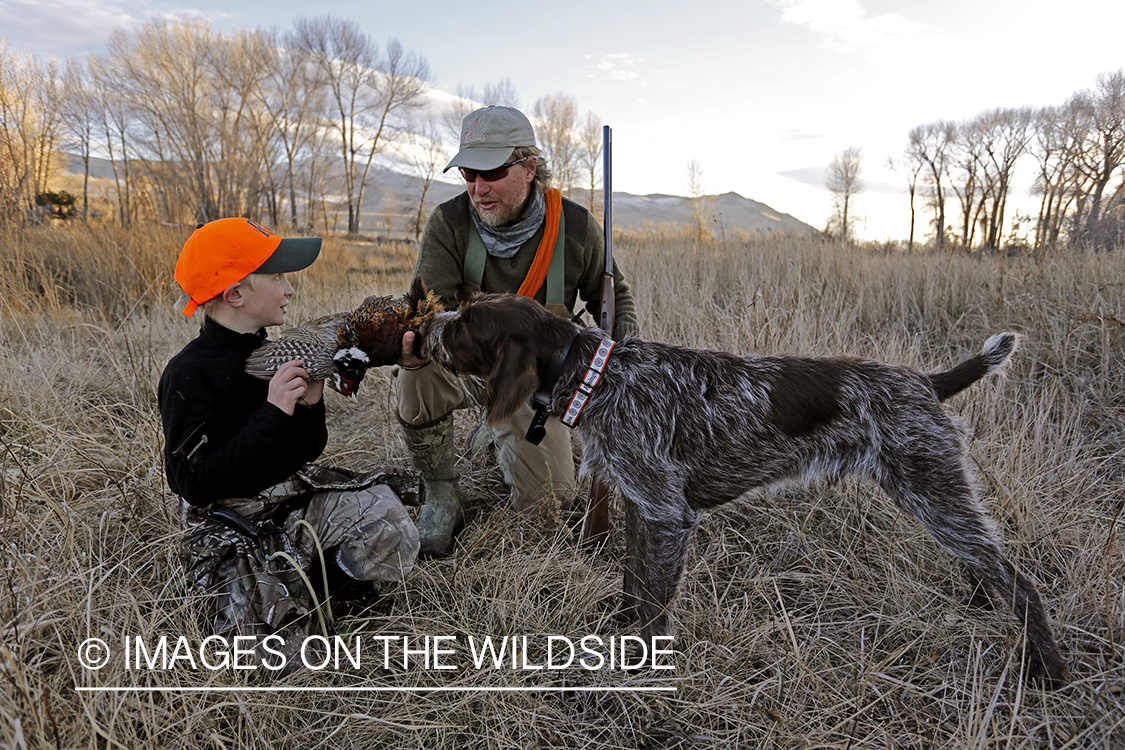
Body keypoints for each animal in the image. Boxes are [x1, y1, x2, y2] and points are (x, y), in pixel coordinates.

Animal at [423, 292, 1062, 688]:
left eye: (468, 320)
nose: (426, 322)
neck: (595, 375)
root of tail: (926, 382)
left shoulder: (668, 514)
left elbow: (655, 608)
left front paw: (646, 668)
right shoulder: (642, 505)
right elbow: (633, 584)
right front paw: (619, 632)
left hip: (933, 490)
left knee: (1017, 579)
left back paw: (1048, 670)